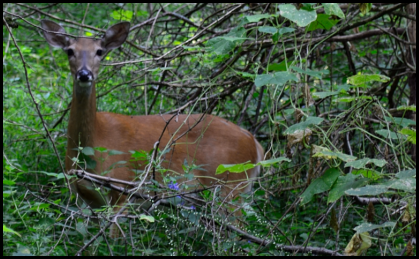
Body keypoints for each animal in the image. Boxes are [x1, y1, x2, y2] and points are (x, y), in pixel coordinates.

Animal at [39, 20, 262, 238]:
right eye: (69, 51)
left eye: (100, 51)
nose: (84, 74)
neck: (94, 141)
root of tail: (255, 142)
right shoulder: (86, 200)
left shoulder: (123, 188)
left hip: (231, 184)